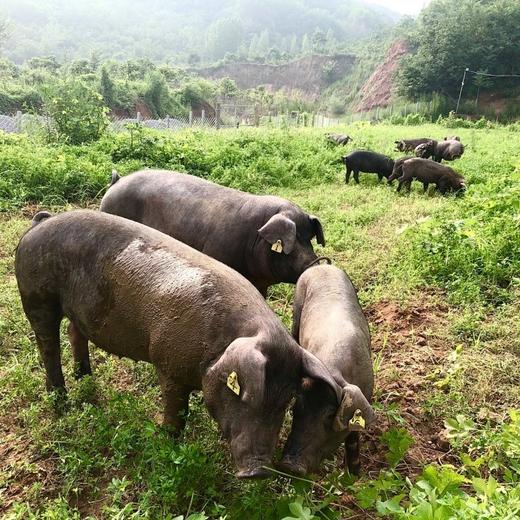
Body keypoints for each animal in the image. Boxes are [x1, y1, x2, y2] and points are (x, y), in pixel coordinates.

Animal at [280, 266, 374, 474]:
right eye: (297, 408)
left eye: (330, 414)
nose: (289, 465)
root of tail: (320, 267)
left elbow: (353, 437)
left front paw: (355, 474)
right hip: (296, 307)